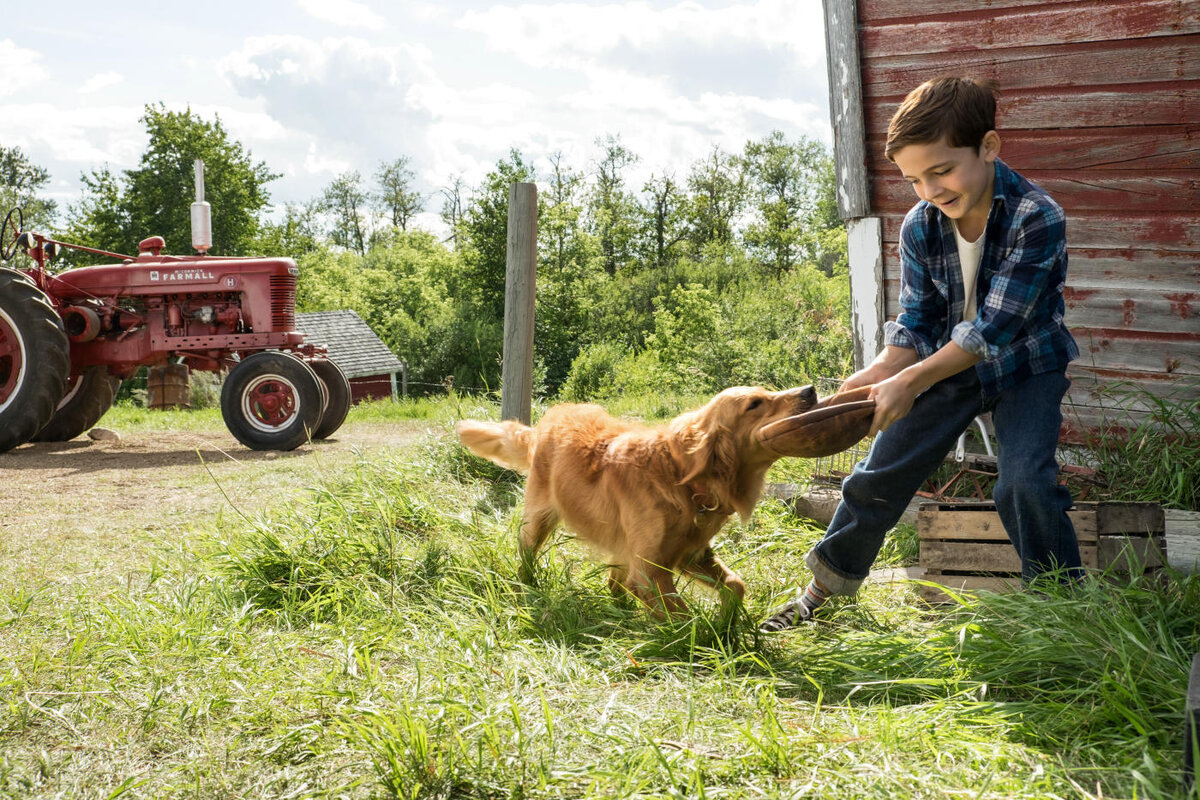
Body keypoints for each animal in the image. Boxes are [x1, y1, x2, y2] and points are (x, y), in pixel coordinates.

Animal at [453, 383, 820, 618]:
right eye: (755, 404)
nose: (810, 390)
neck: (683, 480)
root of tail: (545, 422)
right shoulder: (650, 570)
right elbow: (685, 617)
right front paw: (710, 639)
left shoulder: (690, 554)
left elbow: (736, 583)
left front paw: (729, 621)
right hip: (537, 522)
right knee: (527, 558)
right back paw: (528, 586)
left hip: (623, 545)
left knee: (614, 583)